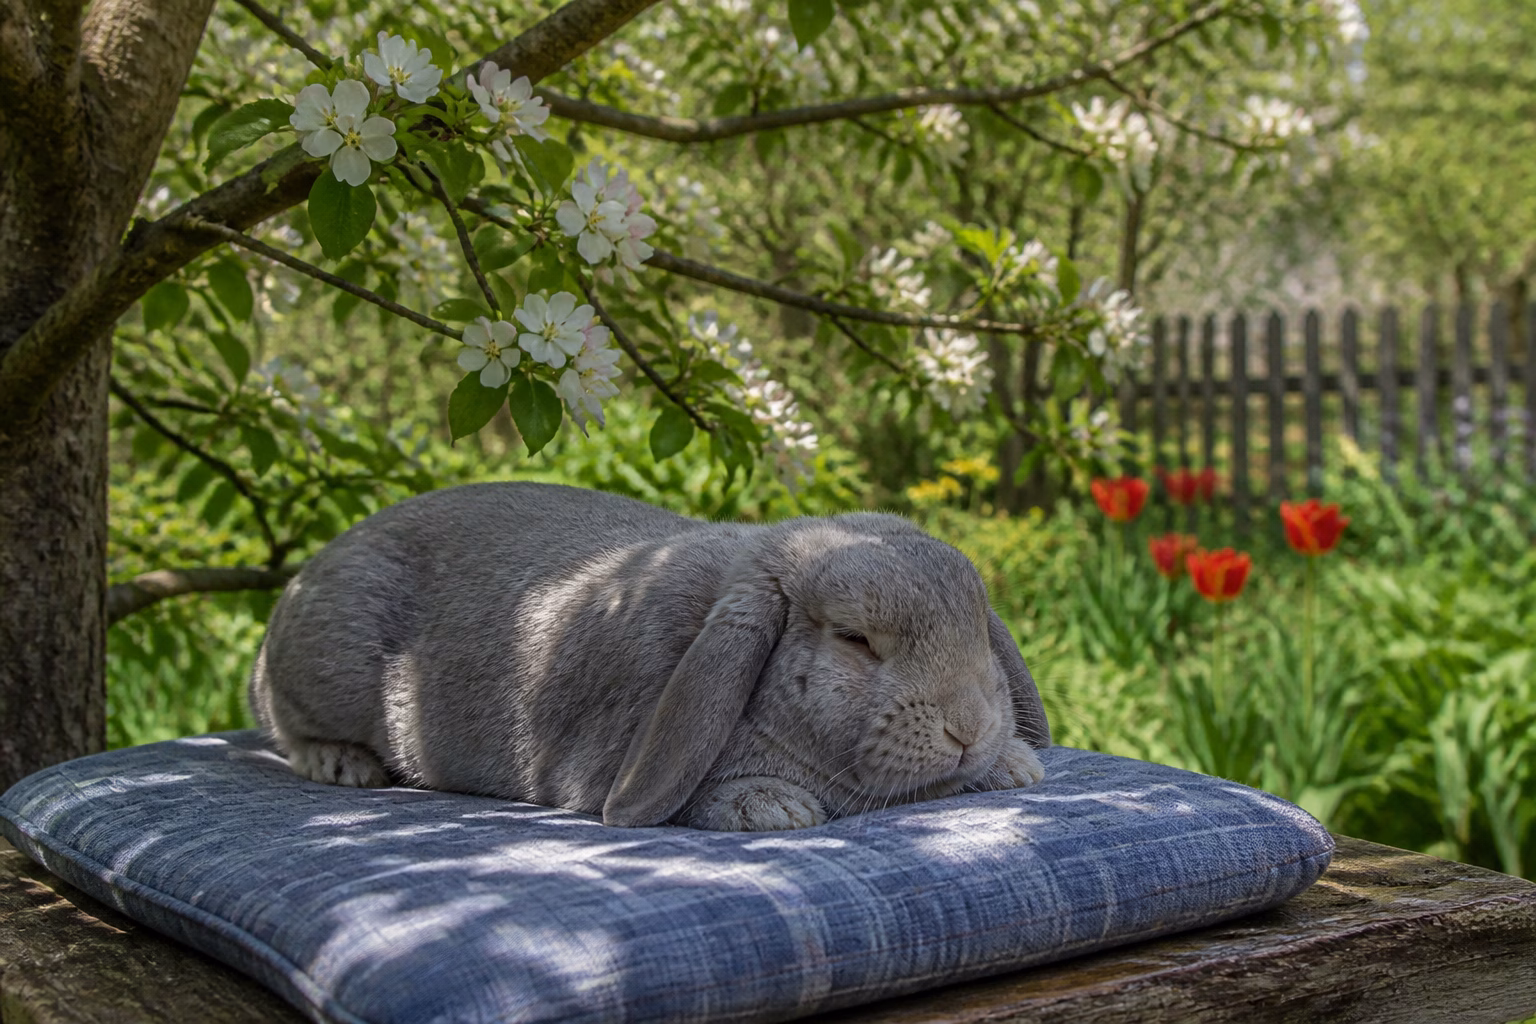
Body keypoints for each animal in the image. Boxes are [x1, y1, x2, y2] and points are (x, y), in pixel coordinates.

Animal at [249, 482, 1051, 831]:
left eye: (978, 628)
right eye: (854, 639)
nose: (968, 729)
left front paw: (1015, 764)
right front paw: (769, 806)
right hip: (324, 662)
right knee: (286, 727)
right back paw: (343, 765)